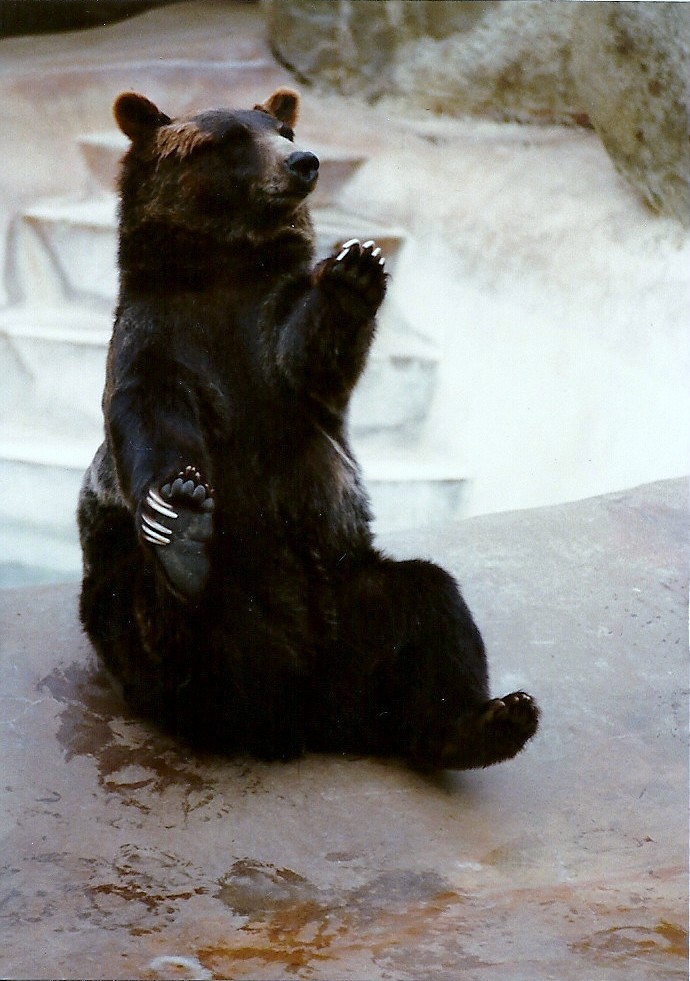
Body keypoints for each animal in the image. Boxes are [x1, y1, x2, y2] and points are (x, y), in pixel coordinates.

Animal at [77, 87, 539, 768]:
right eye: (229, 140)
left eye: (284, 128)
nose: (304, 162)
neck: (224, 268)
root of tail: (307, 710)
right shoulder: (159, 338)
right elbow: (151, 415)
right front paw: (180, 505)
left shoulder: (272, 344)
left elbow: (313, 354)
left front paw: (356, 268)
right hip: (164, 604)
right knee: (158, 617)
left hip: (350, 598)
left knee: (429, 606)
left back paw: (489, 720)